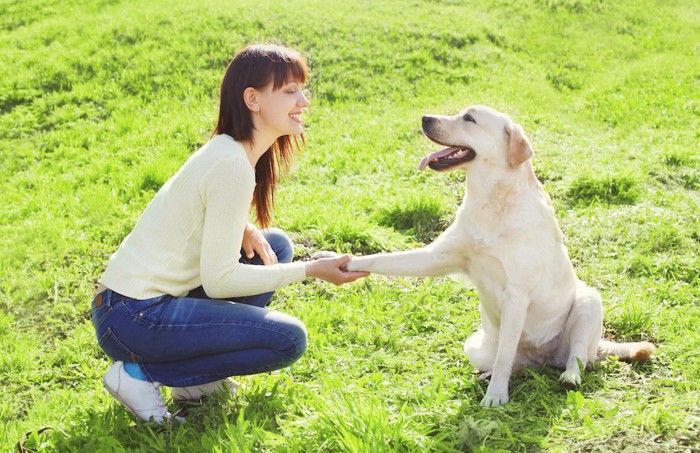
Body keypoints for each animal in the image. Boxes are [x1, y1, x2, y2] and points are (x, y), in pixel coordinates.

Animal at [344, 105, 656, 406]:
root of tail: (543, 358)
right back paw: (493, 372)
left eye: (469, 119)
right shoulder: (435, 257)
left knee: (577, 356)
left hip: (588, 303)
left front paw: (496, 396)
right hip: (474, 346)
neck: (491, 201)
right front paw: (344, 263)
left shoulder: (516, 294)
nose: (425, 117)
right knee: (514, 362)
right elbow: (381, 259)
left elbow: (506, 352)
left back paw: (569, 375)